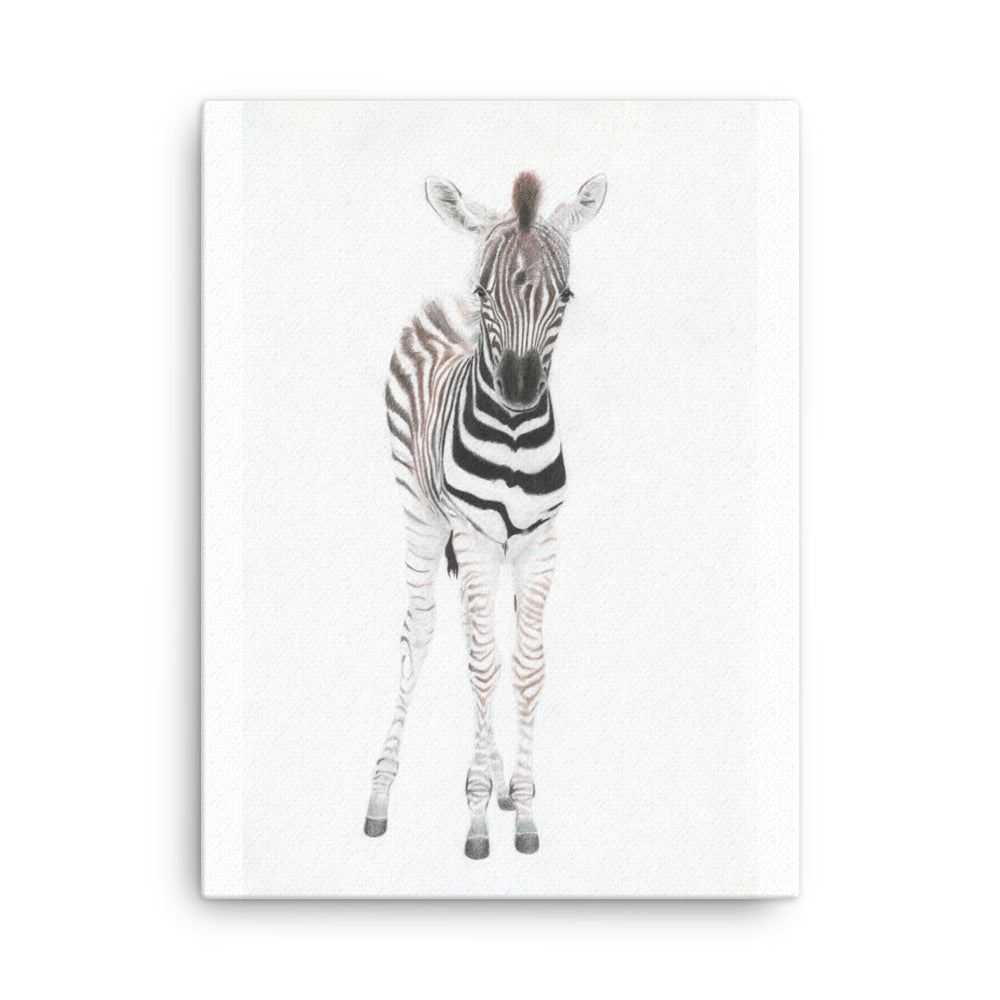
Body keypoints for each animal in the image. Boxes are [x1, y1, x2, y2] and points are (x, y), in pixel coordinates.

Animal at [364, 170, 607, 859]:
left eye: (566, 295)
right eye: (485, 291)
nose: (520, 391)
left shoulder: (539, 543)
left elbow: (522, 667)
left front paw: (520, 807)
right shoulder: (472, 537)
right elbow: (480, 665)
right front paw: (476, 818)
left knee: (478, 638)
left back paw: (496, 778)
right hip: (421, 513)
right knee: (420, 632)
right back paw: (381, 793)